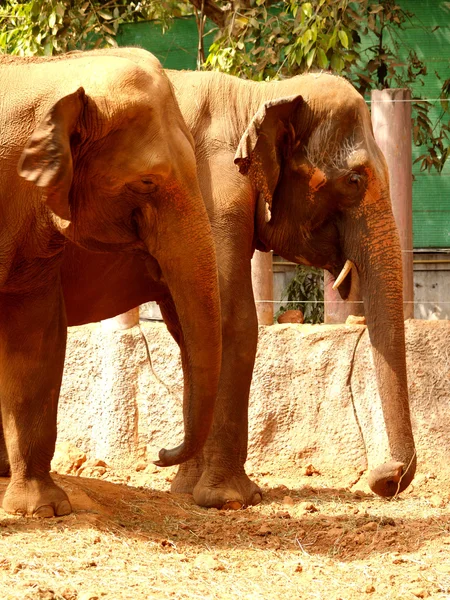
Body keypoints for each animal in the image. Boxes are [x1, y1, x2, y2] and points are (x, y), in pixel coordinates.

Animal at [59, 51, 414, 508]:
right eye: (355, 180)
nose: (384, 477)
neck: (258, 95)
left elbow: (194, 330)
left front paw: (186, 489)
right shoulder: (213, 193)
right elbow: (232, 320)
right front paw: (232, 498)